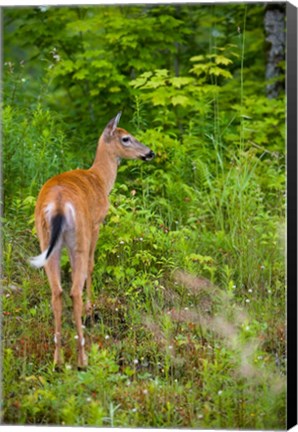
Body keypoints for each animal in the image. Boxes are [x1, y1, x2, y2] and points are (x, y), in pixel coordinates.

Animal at [29, 113, 155, 370]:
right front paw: (92, 307)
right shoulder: (97, 223)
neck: (99, 179)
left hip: (45, 240)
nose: (150, 152)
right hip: (80, 236)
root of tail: (58, 205)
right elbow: (91, 264)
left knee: (56, 292)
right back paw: (82, 358)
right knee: (74, 290)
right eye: (126, 138)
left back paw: (58, 360)